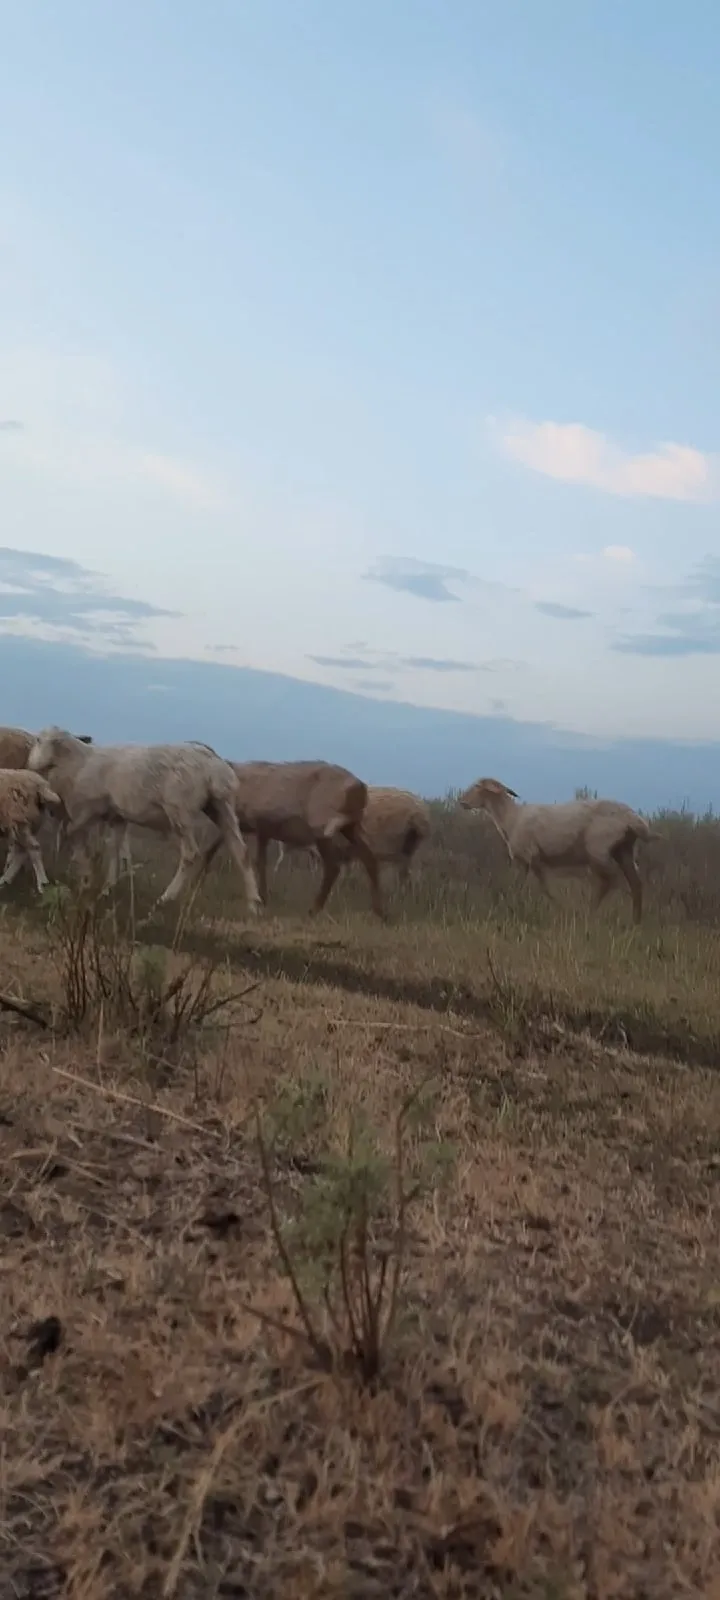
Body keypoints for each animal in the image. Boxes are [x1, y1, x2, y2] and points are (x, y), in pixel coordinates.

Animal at [0, 768, 62, 896]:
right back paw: (6, 879)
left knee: (33, 849)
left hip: (19, 821)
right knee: (23, 851)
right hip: (21, 824)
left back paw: (42, 883)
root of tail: (41, 784)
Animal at [27, 729, 260, 915]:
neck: (78, 763)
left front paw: (85, 877)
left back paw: (166, 897)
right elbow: (114, 848)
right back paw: (253, 903)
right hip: (221, 806)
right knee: (241, 850)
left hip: (180, 810)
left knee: (191, 854)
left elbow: (74, 837)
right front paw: (108, 887)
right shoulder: (117, 817)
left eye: (38, 740)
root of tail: (213, 763)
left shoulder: (85, 811)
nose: (30, 763)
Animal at [460, 777, 659, 928]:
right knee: (635, 883)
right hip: (624, 850)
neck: (511, 818)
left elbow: (545, 887)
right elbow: (520, 886)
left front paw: (559, 907)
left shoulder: (531, 857)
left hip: (598, 849)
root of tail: (633, 818)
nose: (462, 802)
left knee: (610, 880)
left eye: (477, 786)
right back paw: (635, 921)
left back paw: (590, 913)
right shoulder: (525, 861)